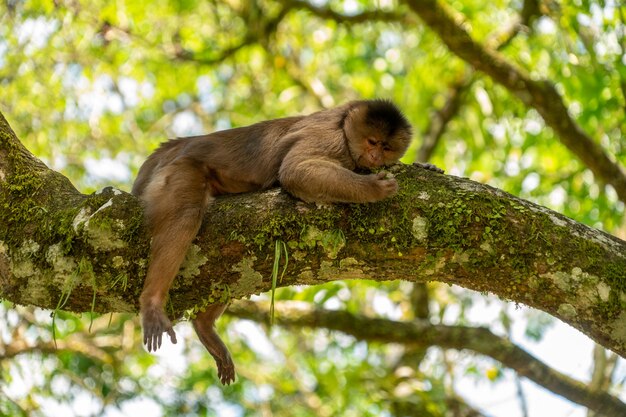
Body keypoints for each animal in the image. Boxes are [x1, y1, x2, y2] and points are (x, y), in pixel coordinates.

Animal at [132, 97, 424, 384]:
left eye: (386, 147)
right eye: (372, 142)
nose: (375, 156)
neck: (343, 121)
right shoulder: (332, 138)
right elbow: (296, 171)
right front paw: (374, 188)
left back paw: (204, 327)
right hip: (179, 169)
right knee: (185, 215)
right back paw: (153, 301)